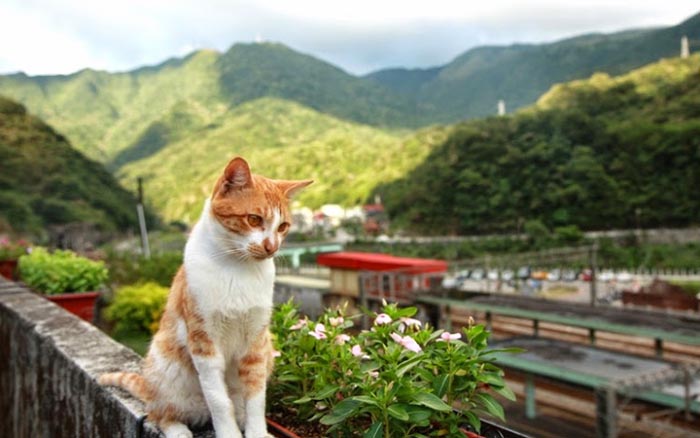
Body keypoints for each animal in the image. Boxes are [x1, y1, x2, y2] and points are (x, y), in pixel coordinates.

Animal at [99, 158, 312, 438]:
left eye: (283, 227)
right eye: (254, 219)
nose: (271, 247)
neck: (237, 270)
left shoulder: (256, 342)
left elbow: (256, 397)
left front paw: (256, 432)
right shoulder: (203, 341)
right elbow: (219, 400)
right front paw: (229, 434)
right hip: (166, 369)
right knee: (160, 412)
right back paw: (178, 430)